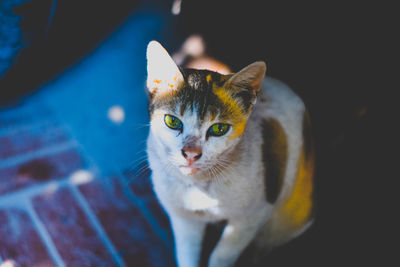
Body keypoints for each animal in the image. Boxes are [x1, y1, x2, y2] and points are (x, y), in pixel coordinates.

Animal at [145, 40, 314, 267]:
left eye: (219, 129)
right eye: (172, 121)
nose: (190, 153)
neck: (200, 188)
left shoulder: (251, 218)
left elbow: (221, 255)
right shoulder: (183, 219)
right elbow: (187, 254)